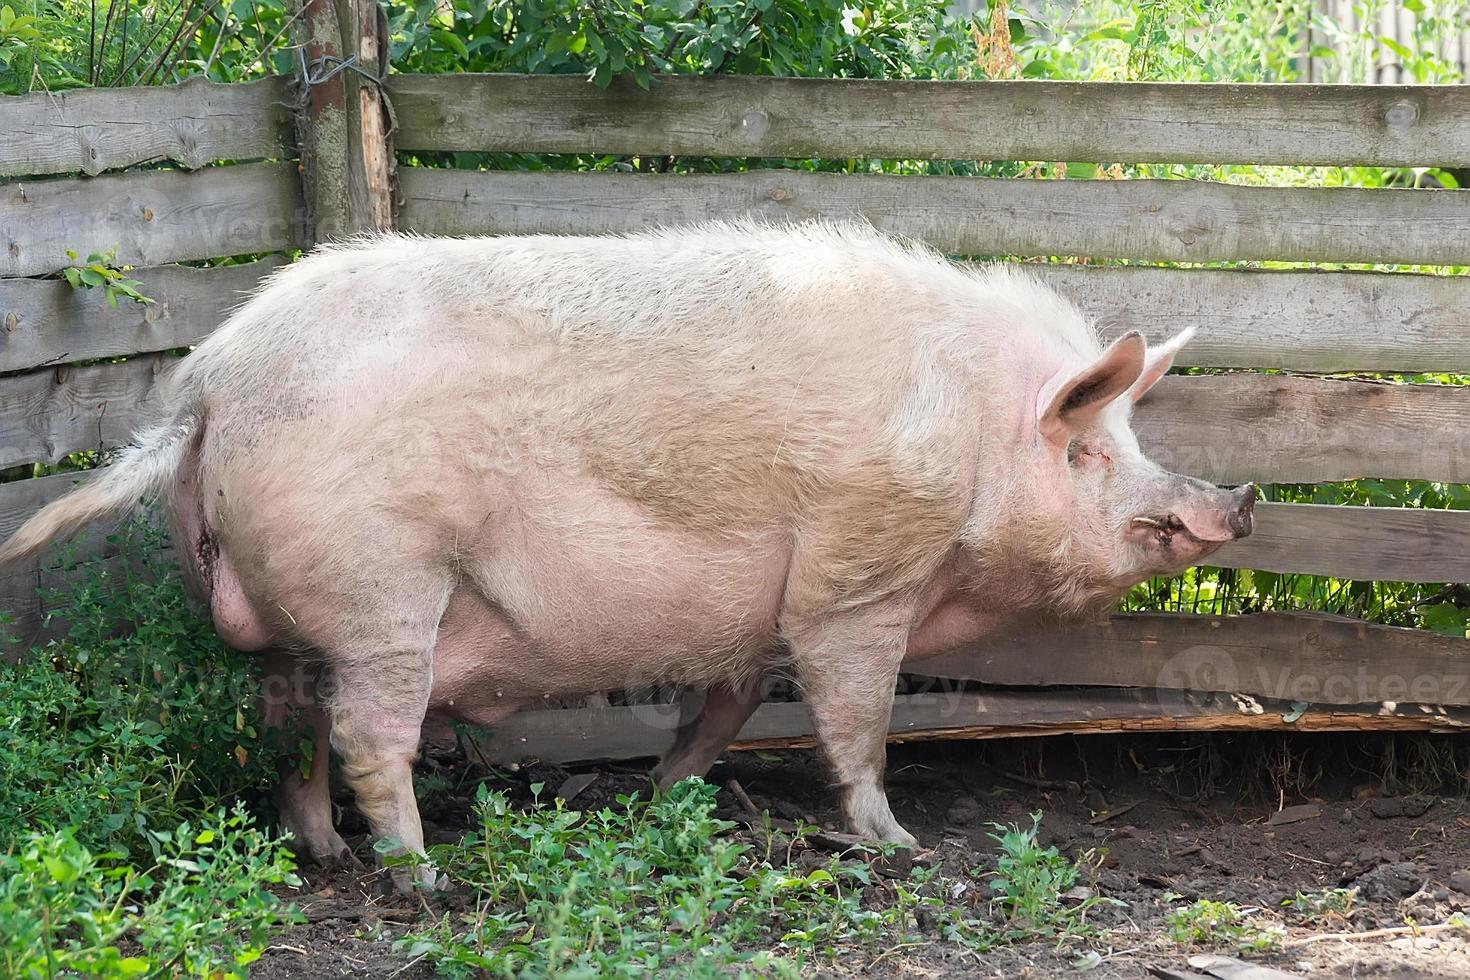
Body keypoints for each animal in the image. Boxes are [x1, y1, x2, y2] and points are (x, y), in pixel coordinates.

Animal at [0, 221, 1258, 887]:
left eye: (1132, 436)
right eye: (1088, 449)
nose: (1236, 498)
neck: (971, 432)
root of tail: (207, 381)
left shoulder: (751, 617)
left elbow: (726, 703)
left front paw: (661, 795)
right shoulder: (858, 573)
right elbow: (855, 715)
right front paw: (901, 844)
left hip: (287, 611)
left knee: (286, 721)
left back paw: (326, 856)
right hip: (384, 590)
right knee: (365, 730)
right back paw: (425, 875)